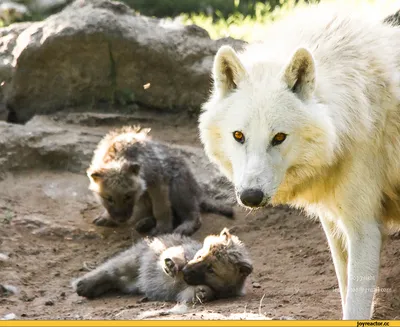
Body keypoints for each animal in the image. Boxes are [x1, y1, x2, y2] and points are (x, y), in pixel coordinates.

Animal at [200, 2, 400, 320]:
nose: (251, 196)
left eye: (279, 137)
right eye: (238, 135)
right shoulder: (334, 224)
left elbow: (356, 307)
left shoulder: (365, 228)